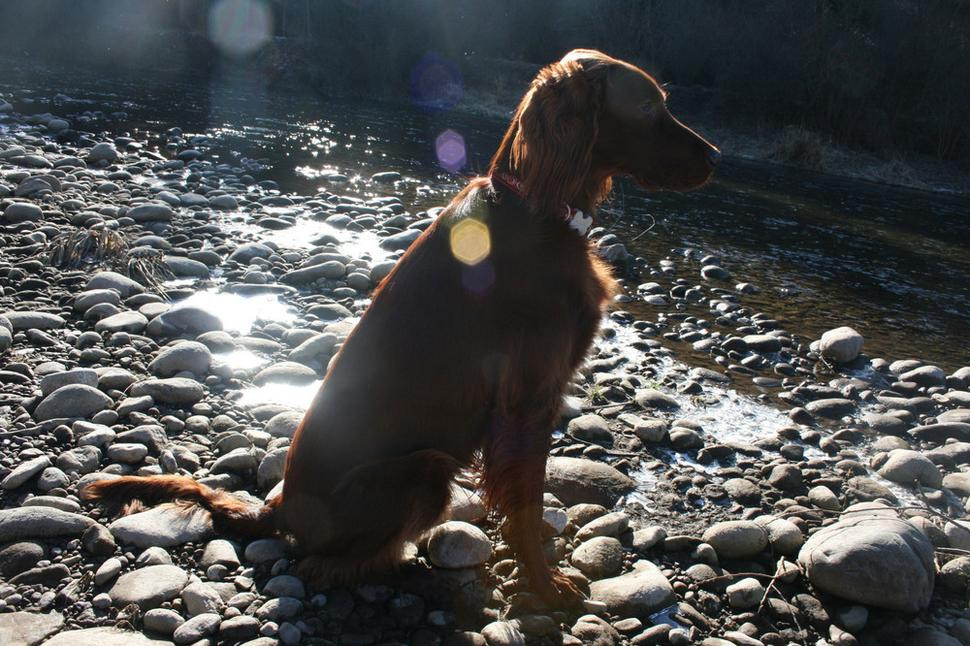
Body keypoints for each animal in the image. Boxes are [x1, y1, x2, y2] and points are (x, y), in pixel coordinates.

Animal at [82, 49, 719, 604]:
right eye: (647, 106)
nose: (716, 157)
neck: (538, 208)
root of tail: (277, 508)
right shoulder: (528, 398)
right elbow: (527, 505)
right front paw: (544, 585)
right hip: (425, 469)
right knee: (320, 566)